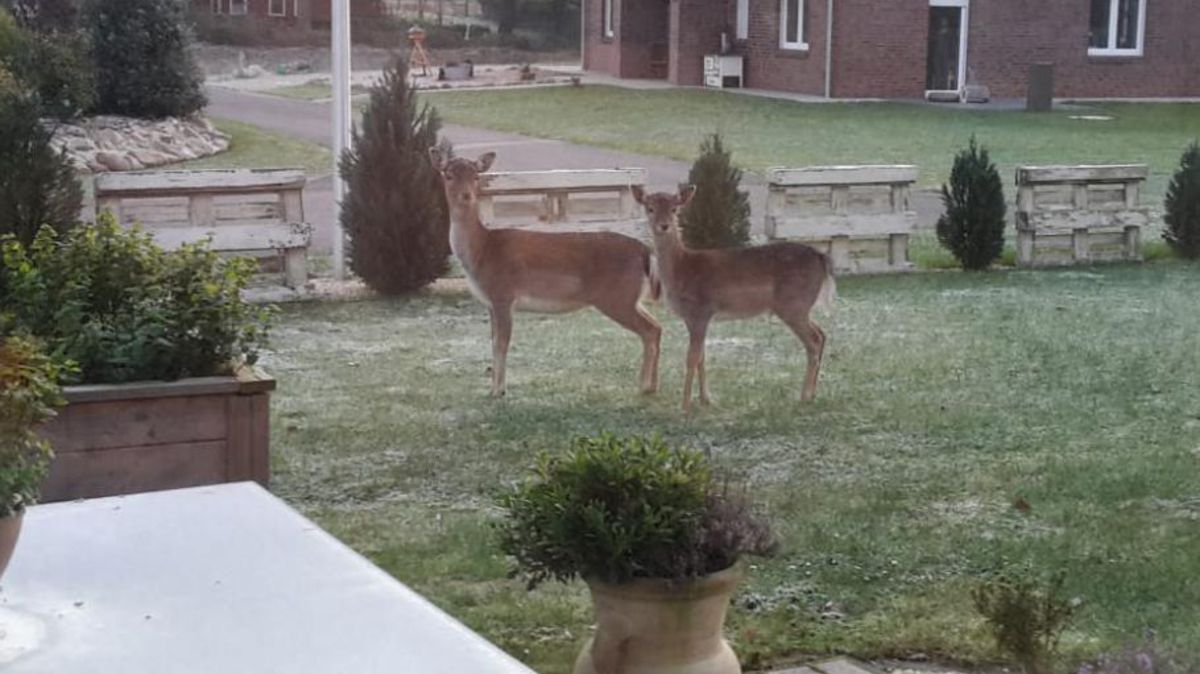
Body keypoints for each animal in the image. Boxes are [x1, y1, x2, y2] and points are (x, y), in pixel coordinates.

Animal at [427, 149, 662, 395]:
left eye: (476, 176)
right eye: (448, 175)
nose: (466, 196)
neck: (482, 252)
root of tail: (645, 251)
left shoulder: (503, 294)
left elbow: (502, 344)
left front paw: (499, 391)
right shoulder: (490, 303)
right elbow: (492, 343)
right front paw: (492, 389)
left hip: (617, 297)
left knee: (649, 330)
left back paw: (644, 386)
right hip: (630, 297)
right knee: (657, 327)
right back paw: (653, 385)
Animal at [633, 183, 840, 412]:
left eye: (674, 209)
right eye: (649, 208)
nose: (664, 226)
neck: (681, 269)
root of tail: (822, 258)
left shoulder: (701, 311)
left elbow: (692, 358)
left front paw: (685, 406)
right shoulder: (693, 318)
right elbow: (702, 357)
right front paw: (705, 399)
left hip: (793, 304)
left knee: (813, 341)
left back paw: (804, 396)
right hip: (801, 307)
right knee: (821, 334)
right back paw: (813, 394)